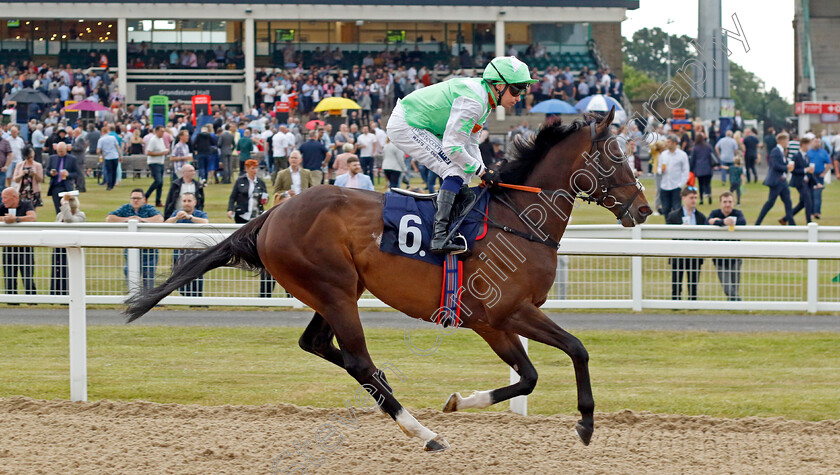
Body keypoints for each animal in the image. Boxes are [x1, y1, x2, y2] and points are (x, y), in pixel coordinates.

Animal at [124, 108, 648, 454]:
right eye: (615, 157)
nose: (643, 209)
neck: (516, 218)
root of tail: (272, 213)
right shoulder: (506, 312)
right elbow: (574, 350)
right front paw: (585, 423)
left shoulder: (497, 321)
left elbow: (531, 376)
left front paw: (459, 400)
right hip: (334, 290)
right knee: (357, 359)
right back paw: (422, 432)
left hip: (336, 291)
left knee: (319, 345)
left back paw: (391, 395)